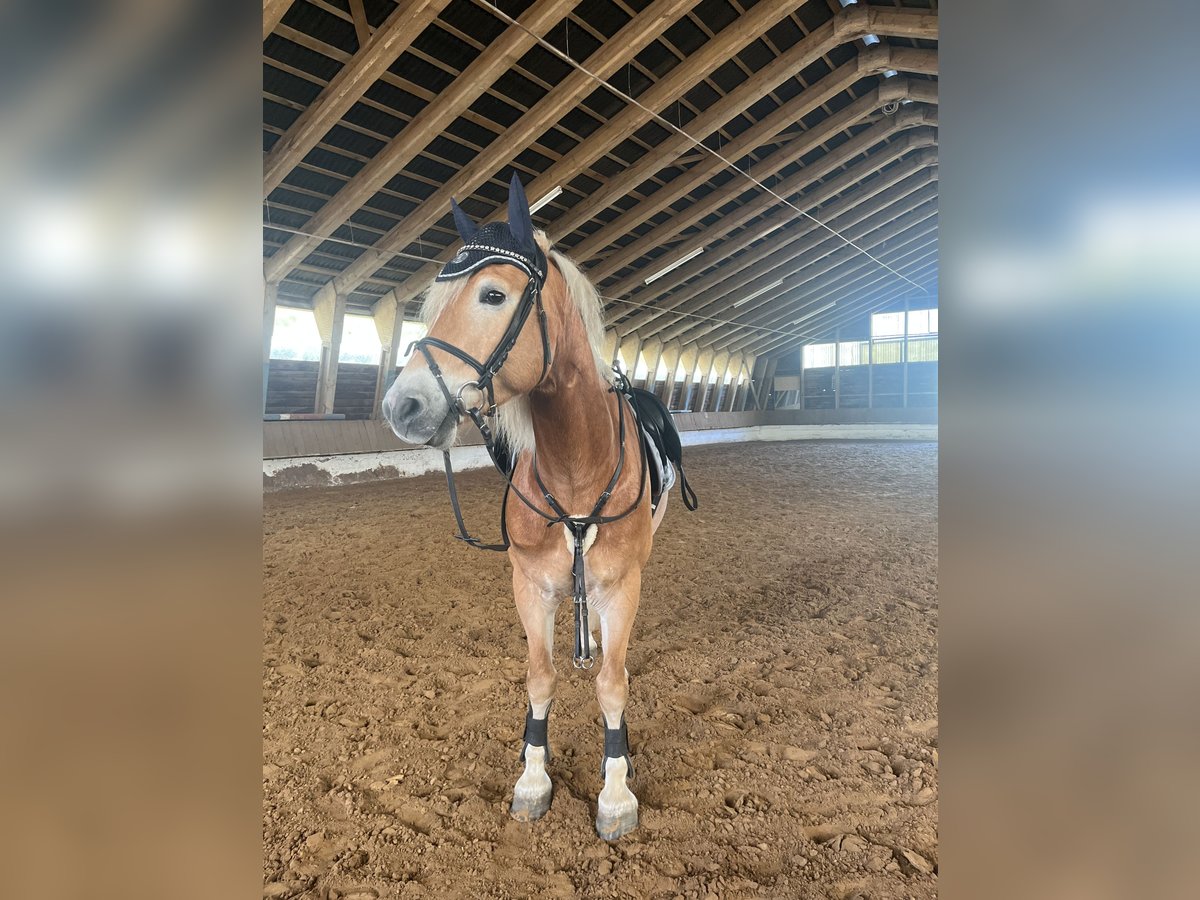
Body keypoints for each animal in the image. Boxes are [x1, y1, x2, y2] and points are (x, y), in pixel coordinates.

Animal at [384, 172, 696, 844]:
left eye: (493, 294)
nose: (404, 407)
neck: (576, 469)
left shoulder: (621, 586)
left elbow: (612, 685)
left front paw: (615, 791)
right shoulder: (529, 586)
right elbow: (540, 676)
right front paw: (532, 779)